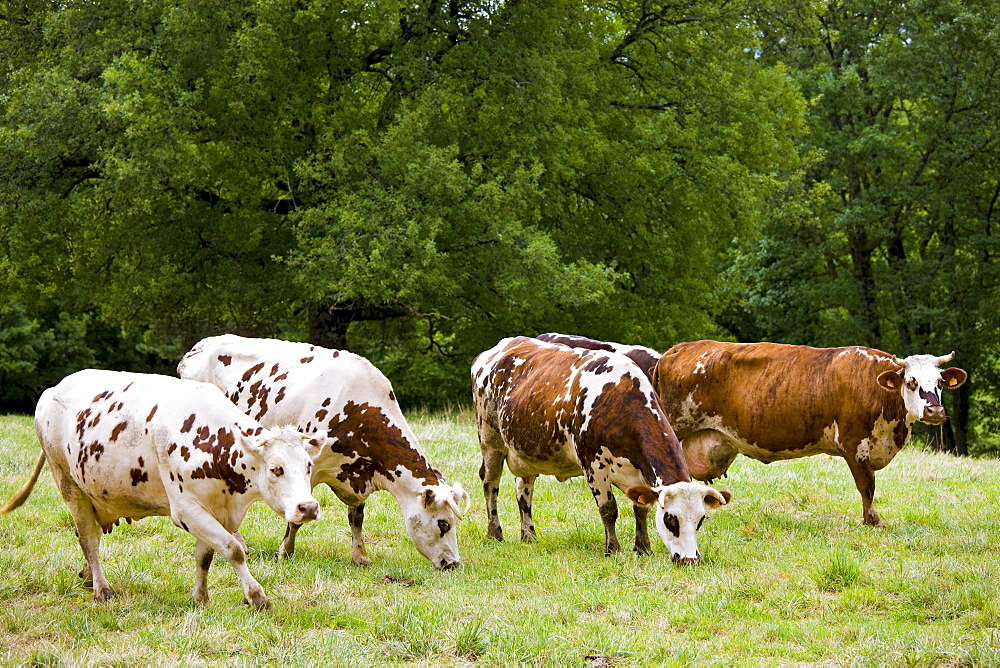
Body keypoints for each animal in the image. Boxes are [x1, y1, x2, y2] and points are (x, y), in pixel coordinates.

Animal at [0, 368, 322, 608]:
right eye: (275, 469)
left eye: (308, 465)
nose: (308, 507)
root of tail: (52, 390)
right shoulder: (186, 509)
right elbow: (233, 550)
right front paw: (256, 596)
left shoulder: (215, 510)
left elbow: (205, 556)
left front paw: (200, 598)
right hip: (68, 484)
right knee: (89, 538)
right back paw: (101, 588)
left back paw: (88, 576)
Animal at [178, 334, 470, 568]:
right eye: (443, 523)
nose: (453, 563)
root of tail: (200, 346)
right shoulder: (307, 468)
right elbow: (296, 518)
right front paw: (285, 552)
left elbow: (356, 517)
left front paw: (360, 556)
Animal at [472, 336, 732, 560]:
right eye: (670, 519)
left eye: (700, 520)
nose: (689, 559)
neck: (621, 403)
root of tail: (502, 346)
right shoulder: (593, 466)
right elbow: (609, 509)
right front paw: (613, 548)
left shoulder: (640, 473)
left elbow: (641, 509)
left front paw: (643, 548)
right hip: (490, 440)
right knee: (490, 484)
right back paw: (495, 532)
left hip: (525, 452)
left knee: (524, 489)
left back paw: (529, 534)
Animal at [652, 344, 964, 528]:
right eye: (911, 382)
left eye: (939, 383)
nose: (935, 411)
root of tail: (678, 349)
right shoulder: (855, 445)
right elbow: (867, 487)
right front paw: (872, 521)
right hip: (672, 426)